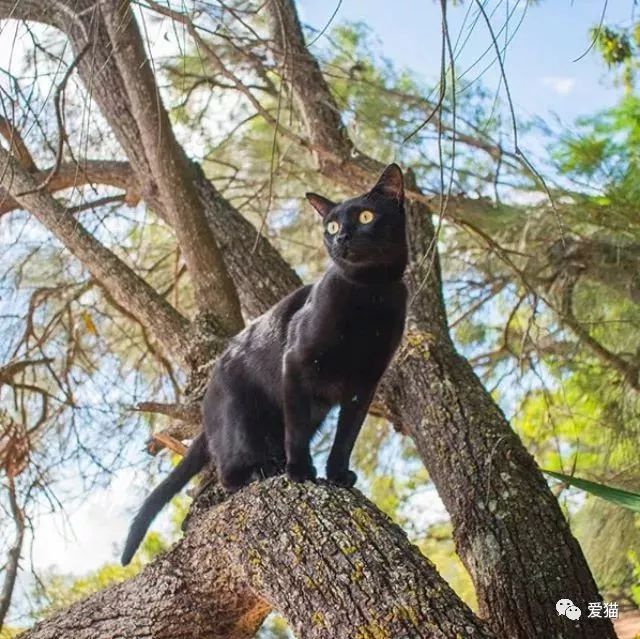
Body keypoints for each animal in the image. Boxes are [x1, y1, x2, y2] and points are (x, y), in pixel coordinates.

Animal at [122, 164, 408, 564]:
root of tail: (207, 403)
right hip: (242, 418)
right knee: (228, 472)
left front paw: (337, 473)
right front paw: (300, 471)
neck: (370, 294)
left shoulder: (364, 386)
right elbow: (296, 433)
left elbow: (347, 436)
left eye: (366, 216)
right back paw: (262, 470)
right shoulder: (296, 364)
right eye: (331, 225)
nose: (341, 237)